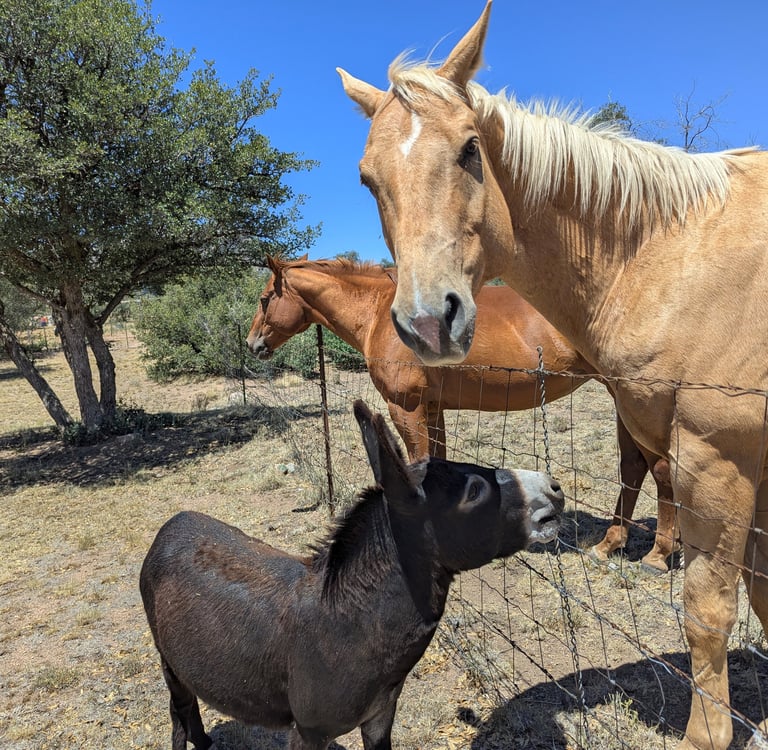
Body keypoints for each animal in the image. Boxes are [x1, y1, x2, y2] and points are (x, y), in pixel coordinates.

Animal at [140, 399, 564, 750]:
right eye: (475, 492)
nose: (555, 487)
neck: (348, 624)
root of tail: (173, 523)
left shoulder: (379, 717)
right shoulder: (308, 732)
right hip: (167, 659)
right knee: (179, 712)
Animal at [247, 255, 678, 571]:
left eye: (266, 298)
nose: (253, 344)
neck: (380, 313)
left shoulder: (406, 409)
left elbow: (418, 463)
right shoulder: (432, 410)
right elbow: (437, 461)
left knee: (659, 470)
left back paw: (656, 556)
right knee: (633, 467)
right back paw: (609, 545)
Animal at [337, 4, 768, 748]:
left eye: (470, 150)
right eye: (368, 178)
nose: (428, 322)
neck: (672, 257)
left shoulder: (722, 460)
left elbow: (709, 610)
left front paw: (706, 735)